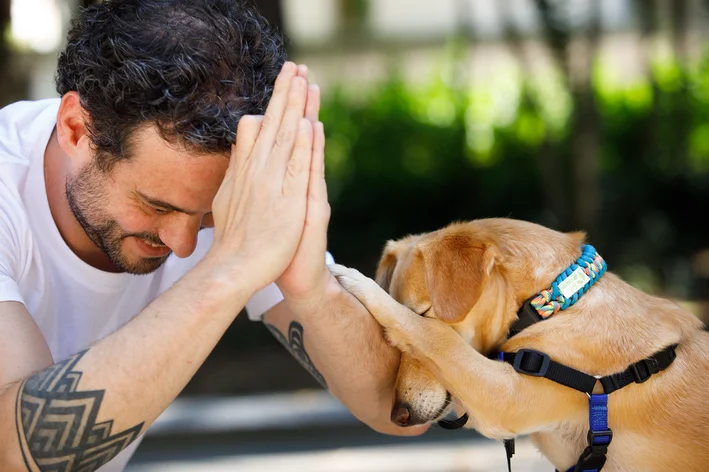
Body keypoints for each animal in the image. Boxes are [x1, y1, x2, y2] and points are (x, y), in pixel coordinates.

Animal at [330, 218, 708, 472]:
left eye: (422, 310)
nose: (398, 415)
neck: (553, 302)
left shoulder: (506, 399)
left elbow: (436, 337)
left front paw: (356, 281)